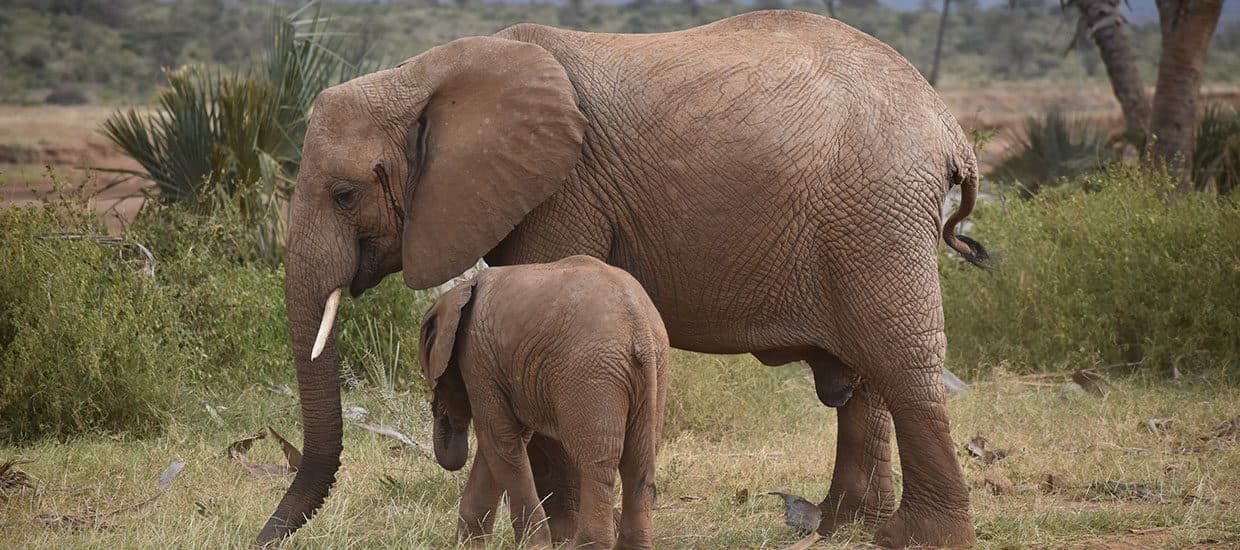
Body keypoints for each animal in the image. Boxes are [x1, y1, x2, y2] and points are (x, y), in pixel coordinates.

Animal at [419, 255, 669, 549]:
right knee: (638, 462)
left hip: (590, 372)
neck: (461, 289)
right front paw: (466, 545)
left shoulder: (477, 358)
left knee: (596, 462)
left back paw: (585, 545)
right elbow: (504, 441)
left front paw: (533, 545)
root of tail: (639, 326)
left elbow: (498, 437)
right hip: (655, 371)